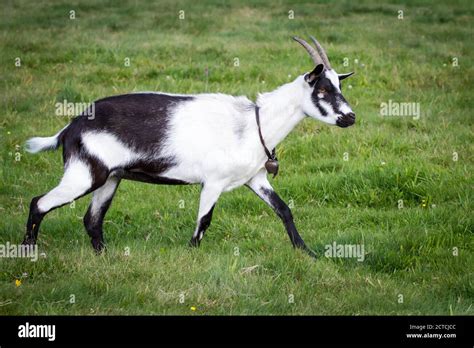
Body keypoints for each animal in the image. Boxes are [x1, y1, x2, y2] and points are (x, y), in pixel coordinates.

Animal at [23, 36, 356, 258]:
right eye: (322, 90)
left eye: (339, 86)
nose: (350, 117)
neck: (253, 124)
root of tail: (71, 127)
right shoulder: (214, 181)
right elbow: (204, 219)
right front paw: (192, 253)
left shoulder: (255, 178)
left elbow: (284, 210)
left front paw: (307, 252)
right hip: (85, 174)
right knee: (39, 203)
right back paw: (27, 253)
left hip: (110, 178)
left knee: (92, 220)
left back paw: (104, 256)